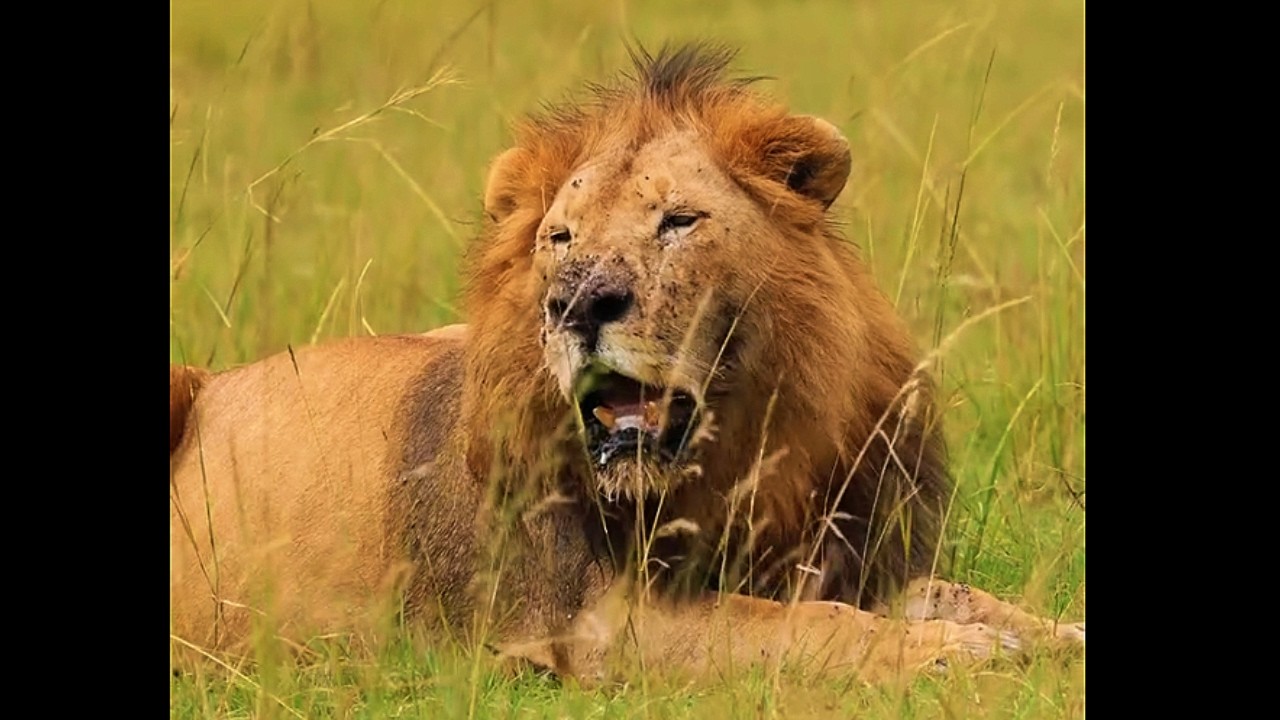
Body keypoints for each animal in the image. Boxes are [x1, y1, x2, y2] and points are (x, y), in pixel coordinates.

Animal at [169, 44, 1082, 684]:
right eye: (560, 238)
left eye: (678, 221)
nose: (575, 304)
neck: (743, 455)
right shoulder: (596, 618)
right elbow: (807, 627)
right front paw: (954, 650)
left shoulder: (847, 550)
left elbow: (958, 594)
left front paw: (1046, 633)